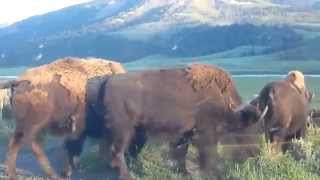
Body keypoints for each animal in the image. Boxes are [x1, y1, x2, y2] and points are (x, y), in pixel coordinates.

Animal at [98, 65, 268, 180]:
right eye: (254, 129)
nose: (257, 153)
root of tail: (108, 81)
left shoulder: (185, 133)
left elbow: (181, 153)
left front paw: (184, 173)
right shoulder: (206, 133)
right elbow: (208, 155)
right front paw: (211, 173)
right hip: (124, 131)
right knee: (117, 152)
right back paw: (128, 176)